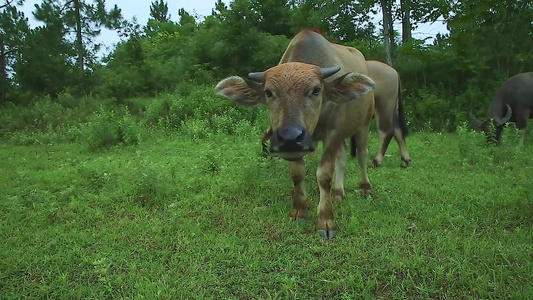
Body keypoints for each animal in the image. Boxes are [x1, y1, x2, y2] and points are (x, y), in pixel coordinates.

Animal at [215, 30, 374, 239]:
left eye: (316, 90)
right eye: (268, 92)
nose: (290, 137)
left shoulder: (332, 133)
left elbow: (324, 175)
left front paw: (326, 220)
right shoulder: (300, 148)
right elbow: (297, 174)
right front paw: (299, 211)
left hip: (364, 124)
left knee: (362, 155)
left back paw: (365, 188)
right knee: (342, 158)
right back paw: (338, 192)